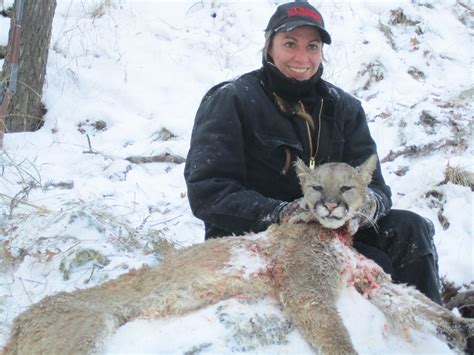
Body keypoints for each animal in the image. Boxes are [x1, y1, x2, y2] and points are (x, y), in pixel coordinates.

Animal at [4, 157, 474, 355]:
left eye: (346, 187)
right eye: (315, 187)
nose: (329, 207)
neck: (336, 235)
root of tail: (21, 319)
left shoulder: (373, 282)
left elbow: (420, 303)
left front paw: (459, 328)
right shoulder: (308, 293)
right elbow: (337, 340)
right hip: (77, 336)